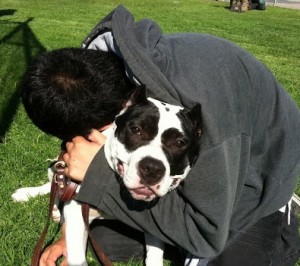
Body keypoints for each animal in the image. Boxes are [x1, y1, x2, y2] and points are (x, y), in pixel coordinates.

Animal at [12, 86, 203, 264]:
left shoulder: (152, 227)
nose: (152, 168)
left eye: (180, 143)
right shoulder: (77, 213)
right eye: (136, 129)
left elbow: (154, 255)